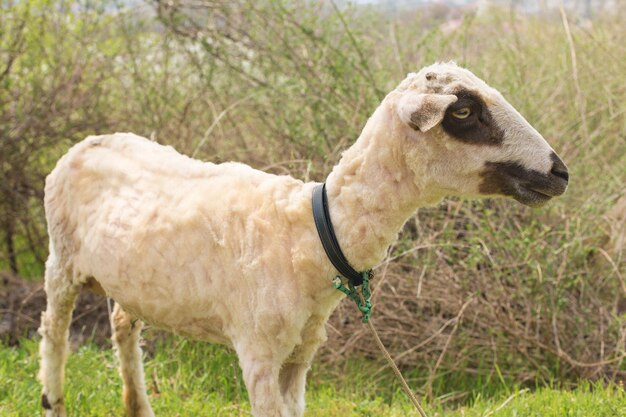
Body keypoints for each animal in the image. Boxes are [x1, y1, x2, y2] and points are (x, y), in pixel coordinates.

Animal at [37, 62, 564, 416]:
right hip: (61, 260)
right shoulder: (259, 353)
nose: (560, 172)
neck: (313, 232)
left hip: (133, 280)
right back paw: (53, 400)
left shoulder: (300, 354)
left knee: (123, 325)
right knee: (53, 334)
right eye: (465, 110)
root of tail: (89, 142)